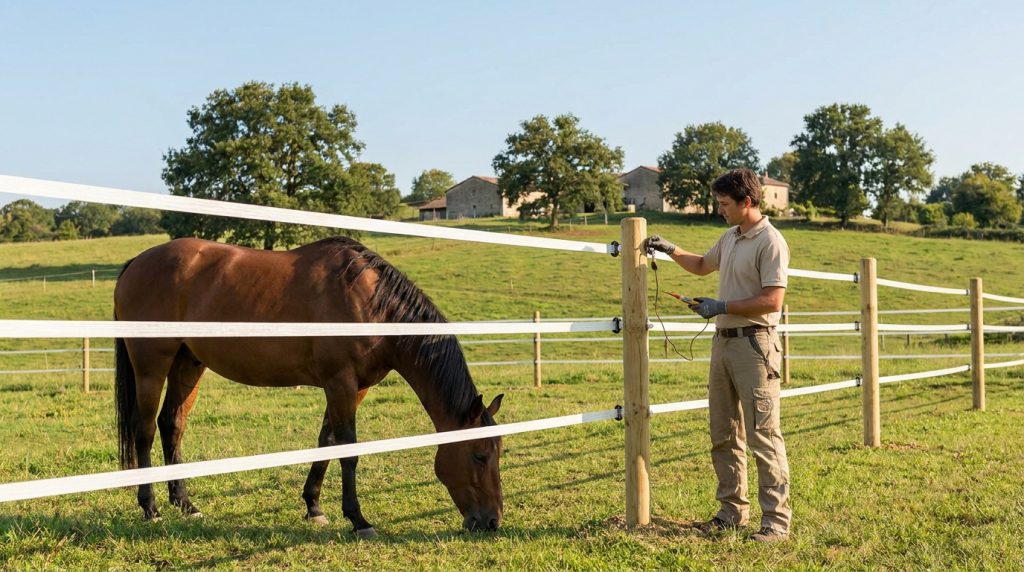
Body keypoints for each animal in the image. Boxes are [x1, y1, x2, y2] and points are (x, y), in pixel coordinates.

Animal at [113, 236, 504, 537]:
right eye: (479, 455)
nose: (492, 521)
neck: (368, 302)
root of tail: (136, 263)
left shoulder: (353, 388)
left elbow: (326, 442)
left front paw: (314, 506)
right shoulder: (340, 382)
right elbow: (348, 450)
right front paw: (358, 519)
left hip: (188, 363)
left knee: (172, 425)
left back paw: (184, 503)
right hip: (151, 366)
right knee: (144, 430)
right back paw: (150, 508)